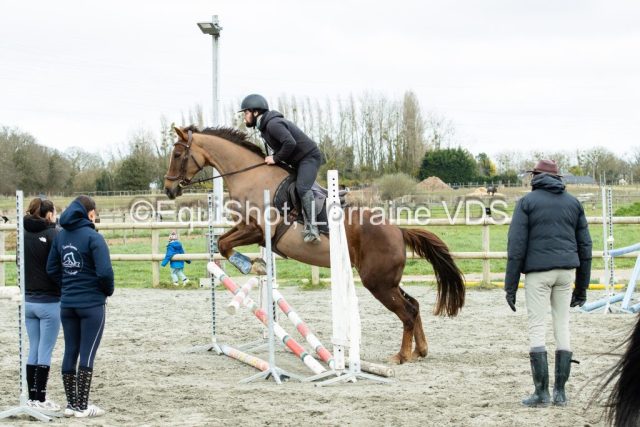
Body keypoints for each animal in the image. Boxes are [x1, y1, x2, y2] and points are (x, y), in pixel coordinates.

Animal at [163, 125, 465, 364]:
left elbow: (225, 244)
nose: (168, 189)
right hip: (387, 281)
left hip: (378, 282)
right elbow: (220, 241)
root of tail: (399, 231)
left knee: (407, 312)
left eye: (177, 155)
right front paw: (257, 264)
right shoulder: (248, 228)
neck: (251, 176)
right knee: (413, 304)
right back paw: (420, 350)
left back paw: (402, 355)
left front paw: (253, 266)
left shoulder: (257, 229)